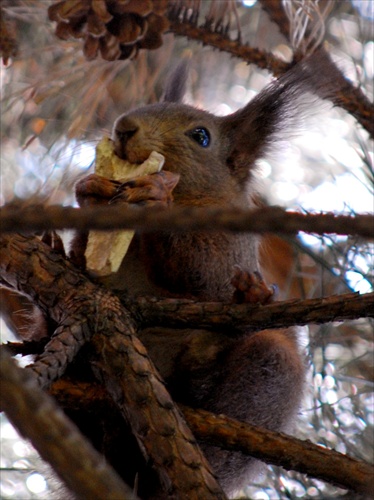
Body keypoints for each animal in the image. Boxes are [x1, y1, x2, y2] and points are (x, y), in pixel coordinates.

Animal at [70, 49, 342, 496]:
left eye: (201, 137)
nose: (124, 127)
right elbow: (85, 265)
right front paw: (88, 191)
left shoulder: (235, 248)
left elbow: (207, 273)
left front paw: (156, 196)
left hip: (265, 381)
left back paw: (206, 357)